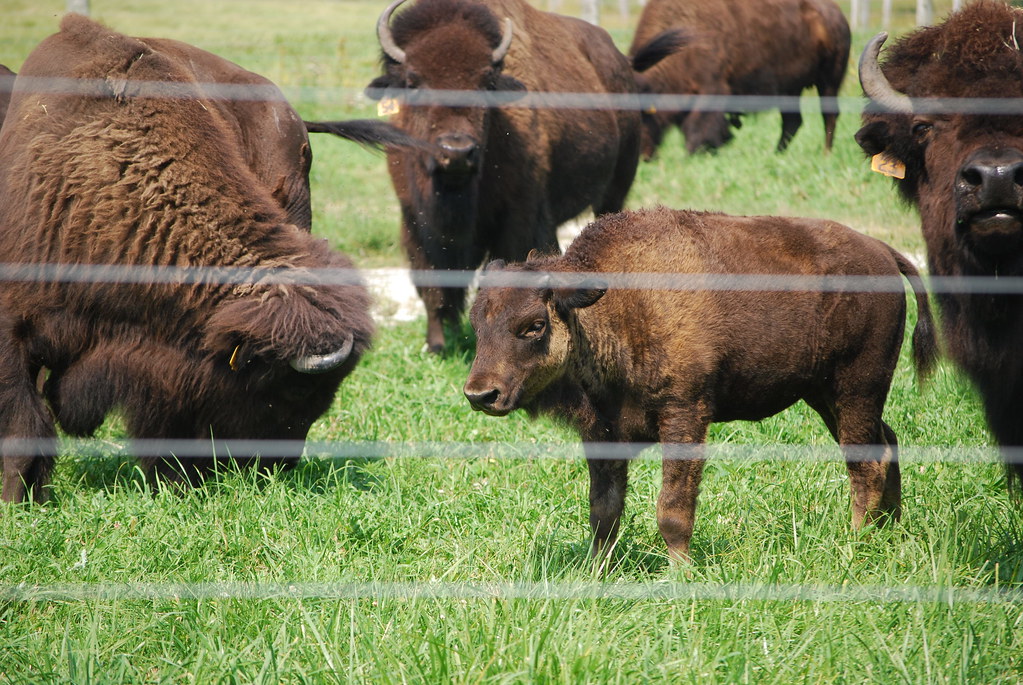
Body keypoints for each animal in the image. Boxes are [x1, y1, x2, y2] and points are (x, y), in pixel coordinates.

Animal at [0, 15, 374, 501]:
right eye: (293, 392)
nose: (281, 465)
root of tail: (290, 116)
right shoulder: (12, 331)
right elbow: (21, 420)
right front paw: (21, 499)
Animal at [366, 0, 685, 353]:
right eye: (413, 81)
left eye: (486, 83)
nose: (457, 151)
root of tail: (622, 63)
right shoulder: (415, 222)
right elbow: (432, 286)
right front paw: (436, 345)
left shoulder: (518, 218)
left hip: (616, 187)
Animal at [464, 207, 936, 561]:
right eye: (476, 322)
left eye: (534, 325)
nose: (480, 394)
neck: (618, 306)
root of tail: (883, 252)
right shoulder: (602, 432)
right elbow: (604, 510)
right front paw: (597, 571)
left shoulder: (685, 415)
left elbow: (672, 509)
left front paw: (682, 572)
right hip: (826, 396)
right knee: (886, 443)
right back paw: (888, 531)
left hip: (856, 388)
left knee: (864, 465)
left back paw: (856, 542)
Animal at [629, 0, 850, 156]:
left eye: (642, 116)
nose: (643, 156)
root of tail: (836, 14)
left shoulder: (711, 89)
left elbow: (698, 128)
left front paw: (697, 153)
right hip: (791, 89)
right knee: (792, 121)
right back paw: (776, 154)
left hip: (829, 82)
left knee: (829, 116)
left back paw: (826, 154)